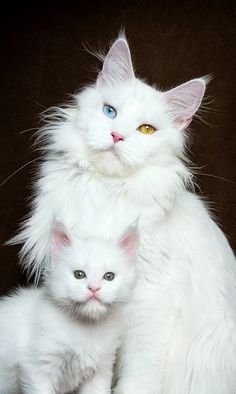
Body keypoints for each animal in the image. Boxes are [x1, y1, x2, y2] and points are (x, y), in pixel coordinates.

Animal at [1, 223, 138, 392]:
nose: (94, 288)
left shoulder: (101, 370)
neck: (86, 328)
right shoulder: (38, 369)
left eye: (109, 276)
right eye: (79, 275)